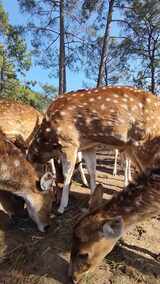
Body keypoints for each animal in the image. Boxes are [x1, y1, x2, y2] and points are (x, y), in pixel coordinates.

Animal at [26, 86, 160, 213]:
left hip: (145, 144)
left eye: (57, 185)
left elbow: (67, 174)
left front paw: (62, 207)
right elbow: (92, 171)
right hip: (132, 148)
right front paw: (92, 199)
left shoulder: (69, 143)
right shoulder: (88, 146)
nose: (55, 201)